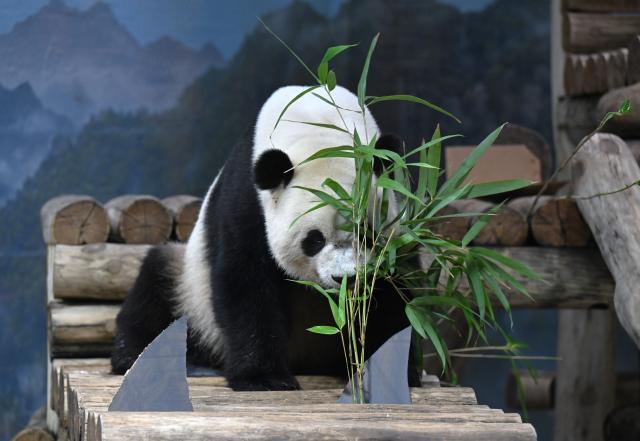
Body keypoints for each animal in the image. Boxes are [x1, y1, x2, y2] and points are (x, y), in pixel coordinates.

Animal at [111, 85, 419, 391]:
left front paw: (390, 372)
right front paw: (264, 378)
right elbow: (245, 279)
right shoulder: (249, 198)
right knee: (155, 286)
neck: (318, 125)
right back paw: (147, 359)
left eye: (366, 234)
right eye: (314, 240)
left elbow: (397, 294)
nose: (346, 279)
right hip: (189, 290)